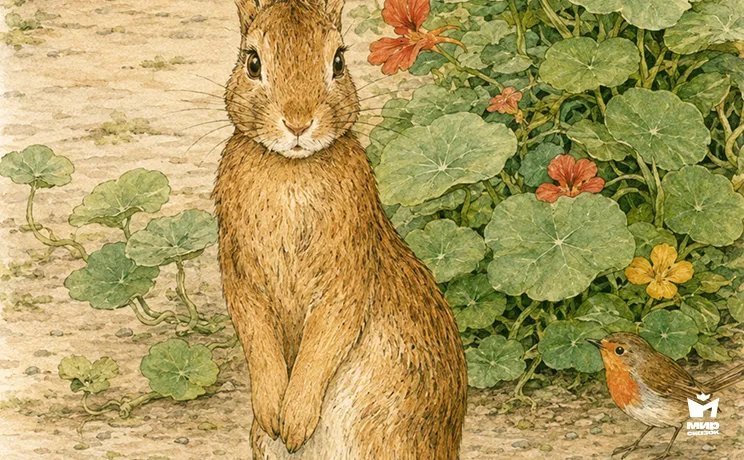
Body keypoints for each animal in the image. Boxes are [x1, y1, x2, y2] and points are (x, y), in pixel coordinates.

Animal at [212, 0, 467, 458]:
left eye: (338, 62)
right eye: (253, 63)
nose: (298, 123)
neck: (292, 170)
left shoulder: (346, 276)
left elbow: (324, 340)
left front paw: (294, 422)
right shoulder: (242, 278)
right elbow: (257, 340)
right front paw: (273, 415)